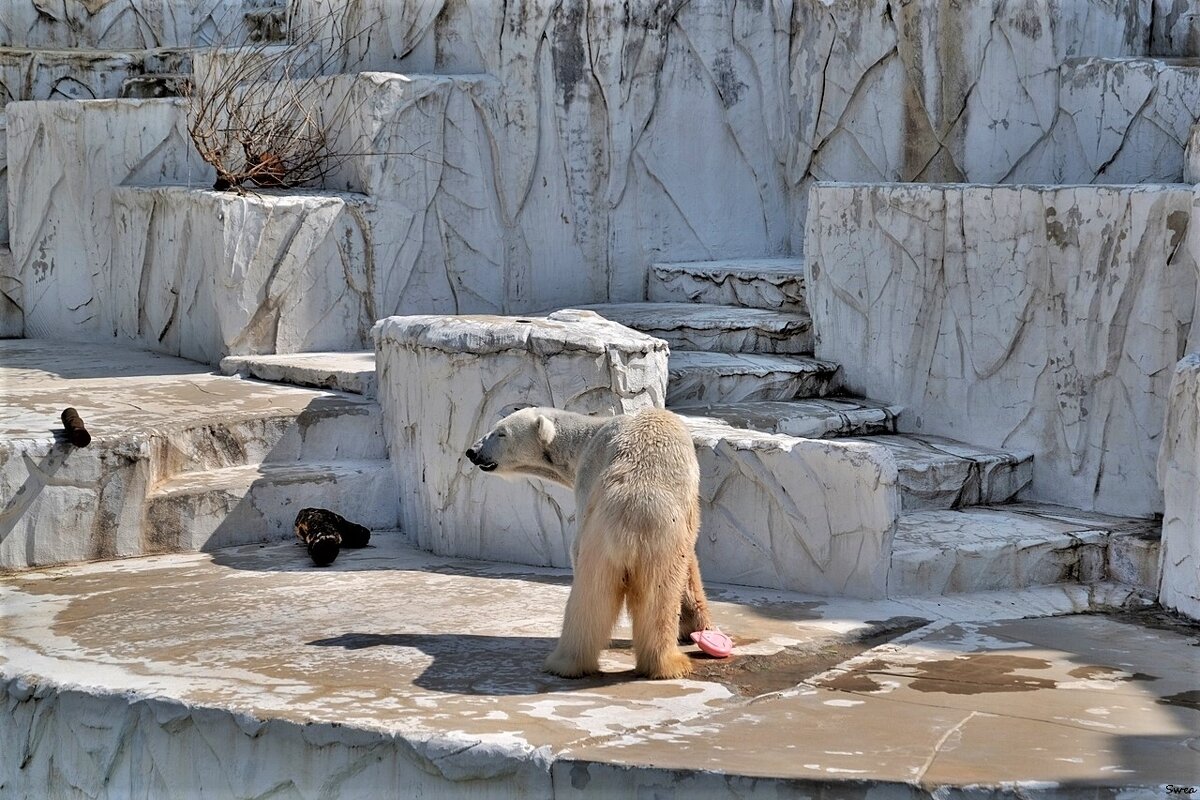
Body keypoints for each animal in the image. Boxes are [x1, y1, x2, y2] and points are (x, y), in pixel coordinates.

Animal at [465, 410, 710, 681]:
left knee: (596, 595)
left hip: (608, 541)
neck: (585, 438)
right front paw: (694, 625)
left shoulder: (588, 476)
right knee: (644, 596)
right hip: (645, 547)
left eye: (501, 432)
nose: (473, 451)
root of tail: (631, 517)